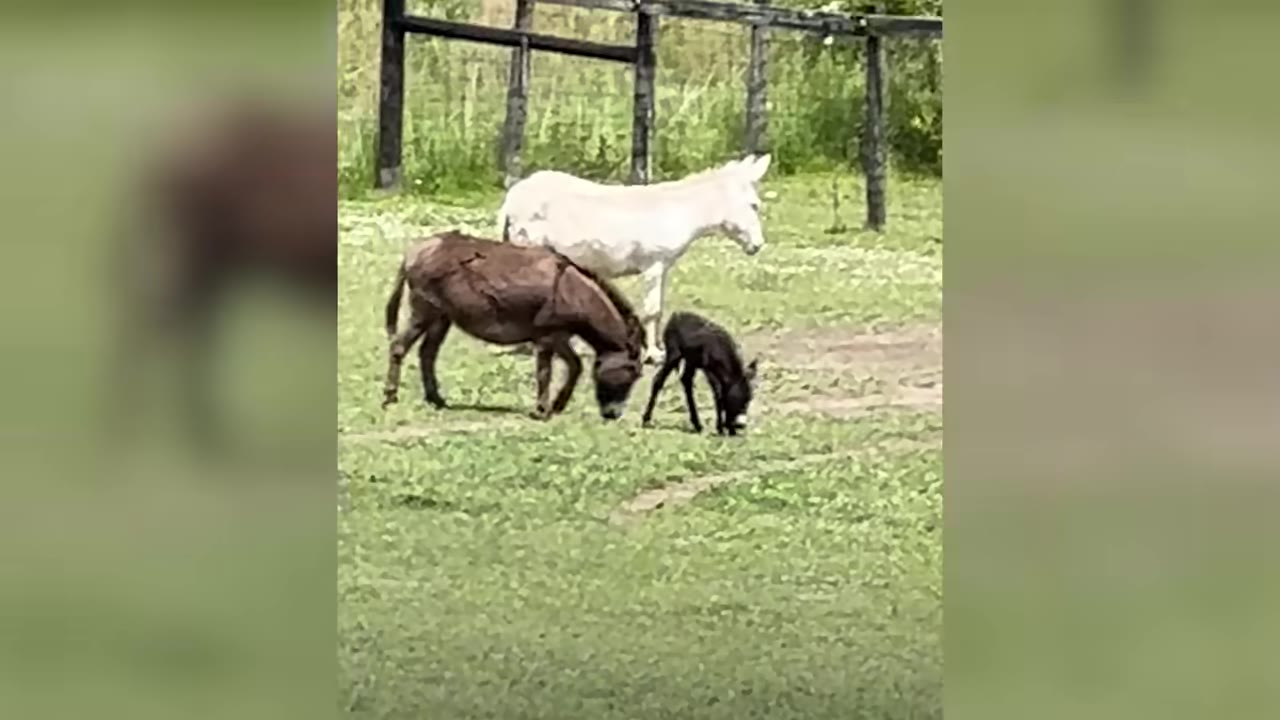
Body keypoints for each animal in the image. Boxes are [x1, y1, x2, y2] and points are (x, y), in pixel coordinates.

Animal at [381, 230, 646, 421]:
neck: (575, 294)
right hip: (425, 310)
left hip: (442, 317)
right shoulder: (546, 337)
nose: (613, 415)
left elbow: (576, 366)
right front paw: (541, 411)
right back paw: (390, 397)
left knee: (427, 353)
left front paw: (557, 405)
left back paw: (435, 399)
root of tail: (415, 250)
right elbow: (544, 373)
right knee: (399, 346)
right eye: (633, 373)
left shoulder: (559, 336)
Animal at [496, 154, 772, 365]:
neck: (678, 212)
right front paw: (655, 355)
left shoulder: (662, 268)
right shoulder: (654, 267)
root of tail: (513, 195)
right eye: (754, 205)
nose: (758, 246)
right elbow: (653, 311)